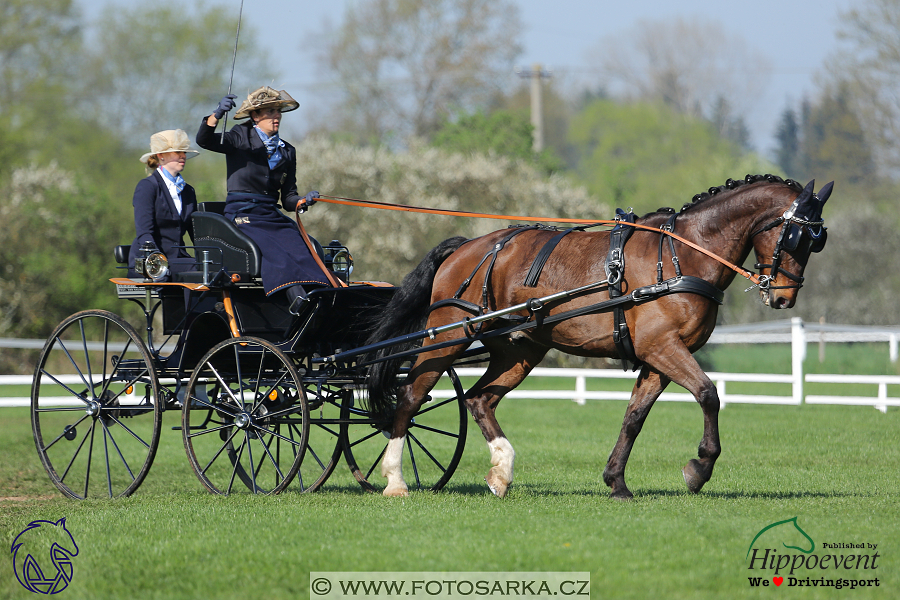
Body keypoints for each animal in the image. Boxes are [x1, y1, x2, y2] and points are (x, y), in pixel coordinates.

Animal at [364, 175, 828, 502]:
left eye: (816, 240)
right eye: (796, 236)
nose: (783, 297)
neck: (684, 255)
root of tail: (468, 246)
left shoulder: (657, 359)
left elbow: (634, 418)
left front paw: (616, 480)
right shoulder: (663, 348)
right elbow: (708, 395)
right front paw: (700, 468)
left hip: (520, 349)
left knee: (480, 399)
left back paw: (501, 472)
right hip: (449, 336)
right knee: (410, 398)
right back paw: (395, 480)